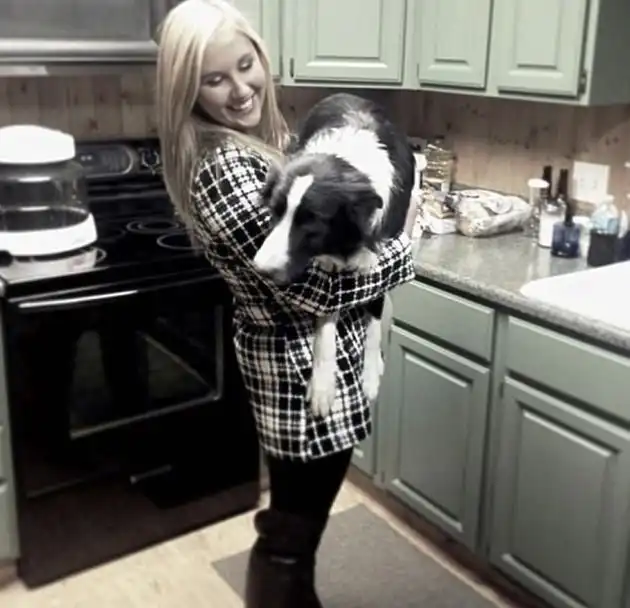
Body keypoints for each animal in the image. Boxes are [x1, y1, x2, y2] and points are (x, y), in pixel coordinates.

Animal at [253, 92, 417, 417]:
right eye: (275, 212)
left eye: (312, 224)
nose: (259, 269)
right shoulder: (328, 281)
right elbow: (327, 320)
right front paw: (322, 385)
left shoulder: (381, 255)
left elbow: (374, 315)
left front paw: (370, 374)